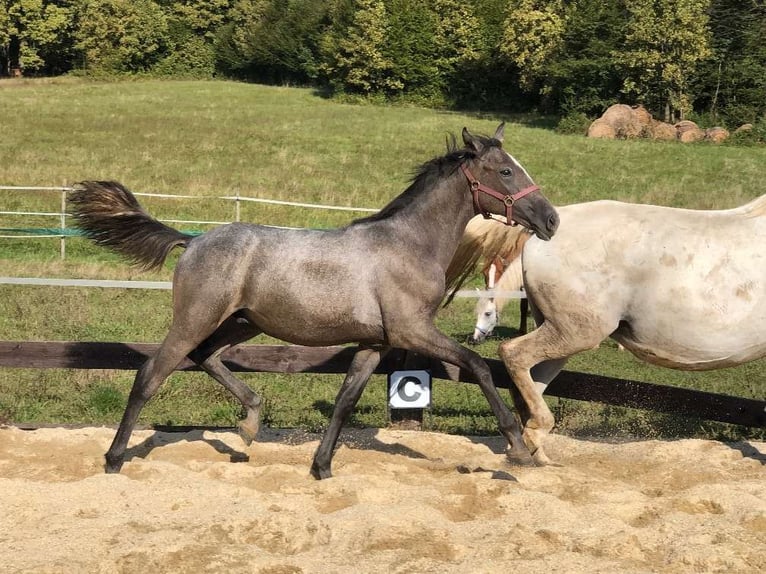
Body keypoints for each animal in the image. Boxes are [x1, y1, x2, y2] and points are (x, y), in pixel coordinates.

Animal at [448, 197, 766, 464]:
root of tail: (540, 234)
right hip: (577, 332)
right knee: (513, 353)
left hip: (561, 333)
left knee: (531, 377)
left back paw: (534, 452)